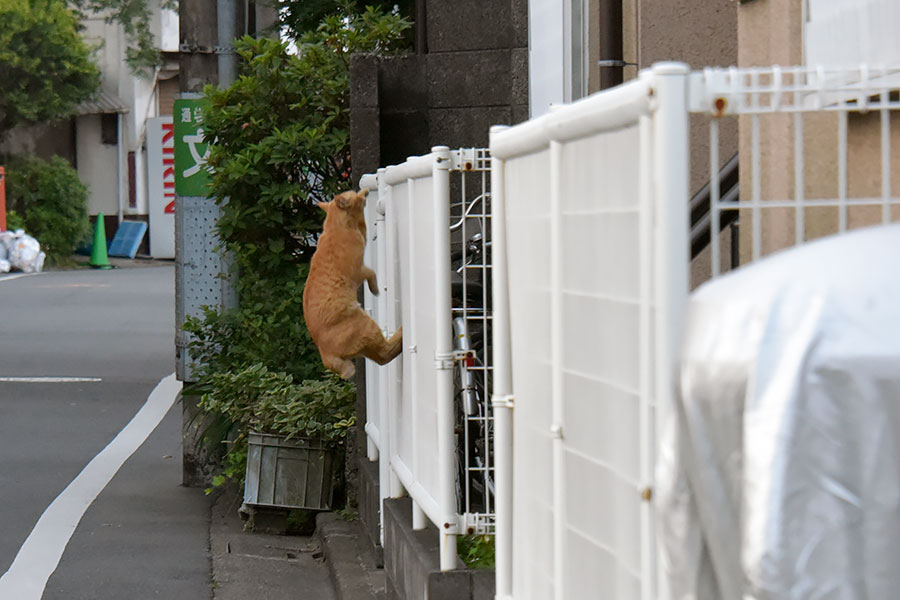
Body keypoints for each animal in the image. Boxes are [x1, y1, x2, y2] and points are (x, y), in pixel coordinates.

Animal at [302, 189, 400, 380]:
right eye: (354, 194)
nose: (365, 193)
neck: (335, 227)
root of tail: (324, 353)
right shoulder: (358, 271)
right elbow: (371, 273)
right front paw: (375, 290)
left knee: (383, 358)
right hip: (367, 327)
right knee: (386, 352)